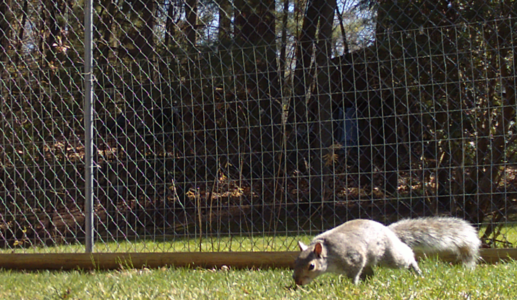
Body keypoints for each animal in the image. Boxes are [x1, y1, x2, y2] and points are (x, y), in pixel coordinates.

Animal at [292, 217, 482, 284]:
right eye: (295, 262)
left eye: (311, 266)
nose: (298, 282)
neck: (329, 251)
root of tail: (389, 231)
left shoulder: (352, 257)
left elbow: (353, 273)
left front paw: (352, 284)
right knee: (370, 272)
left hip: (391, 257)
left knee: (407, 255)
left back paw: (417, 271)